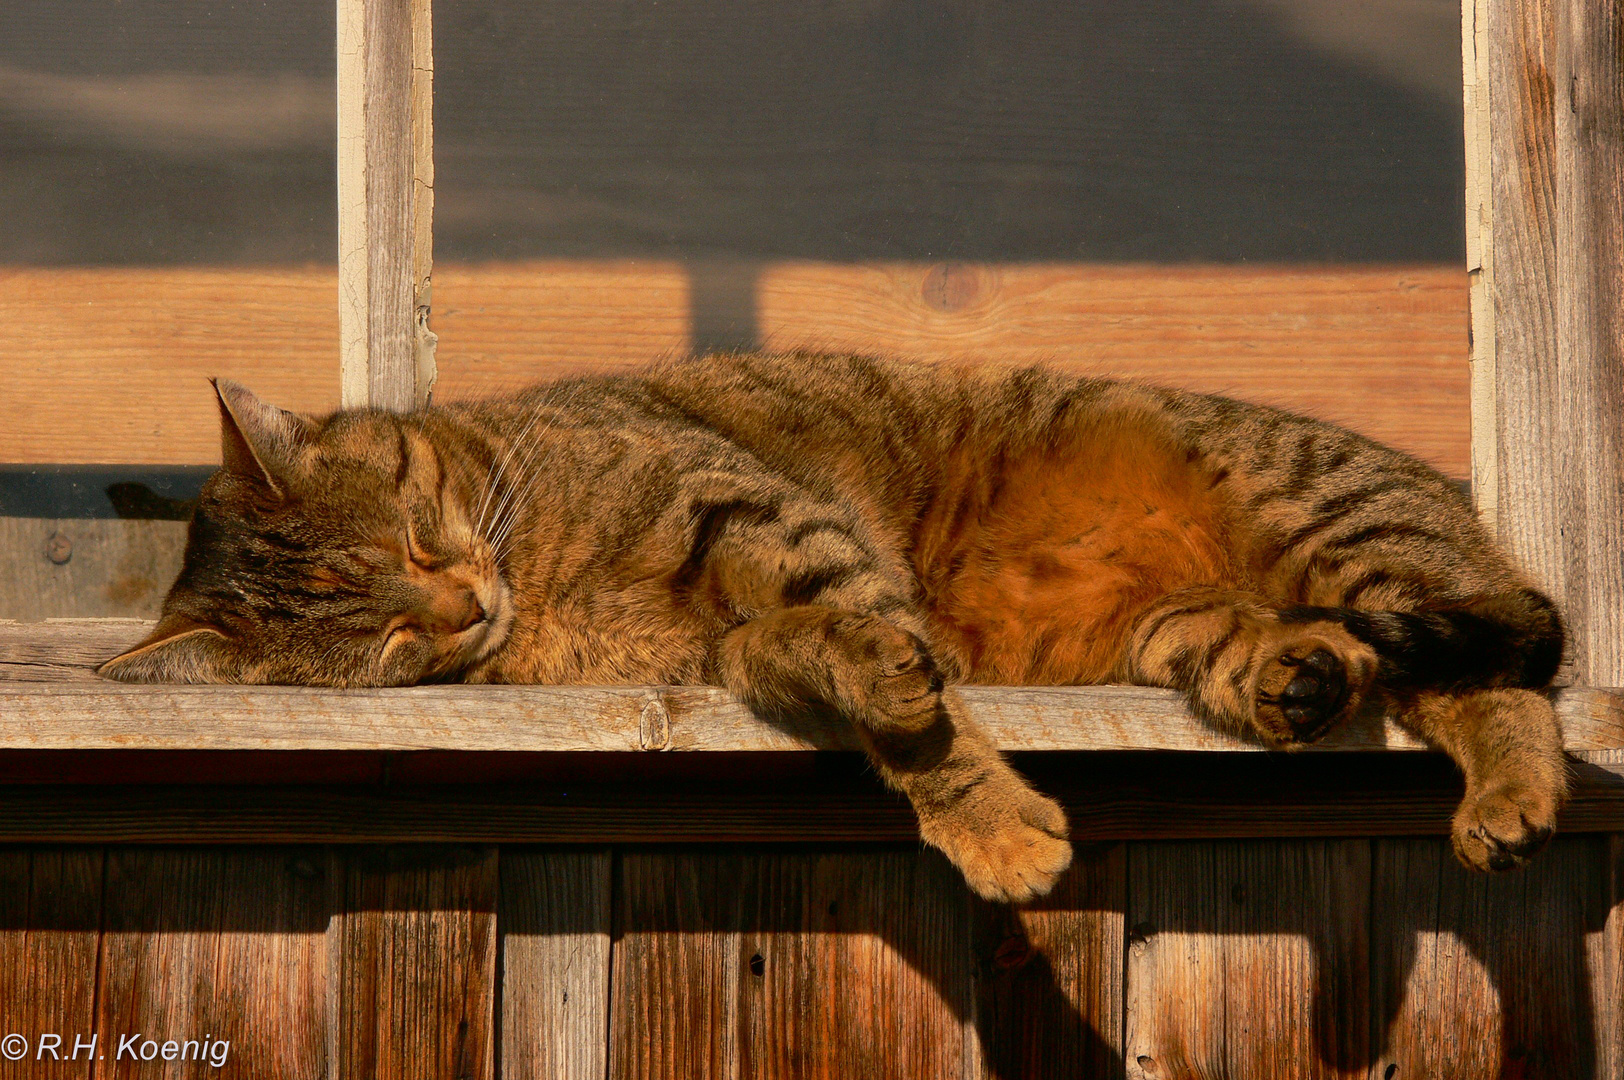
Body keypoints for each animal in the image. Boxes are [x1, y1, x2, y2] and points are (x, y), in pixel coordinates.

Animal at [98, 354, 1559, 902]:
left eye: (413, 539)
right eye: (392, 643)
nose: (461, 607)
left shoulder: (759, 510)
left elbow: (880, 665)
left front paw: (982, 809)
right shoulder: (736, 635)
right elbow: (828, 670)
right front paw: (965, 794)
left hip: (1320, 513)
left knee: (1513, 658)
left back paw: (1511, 790)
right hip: (1199, 622)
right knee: (1377, 655)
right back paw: (1300, 679)